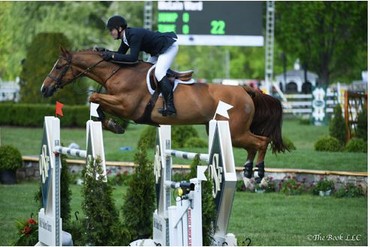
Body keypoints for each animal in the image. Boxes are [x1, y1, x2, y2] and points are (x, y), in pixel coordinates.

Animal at [41, 47, 290, 180]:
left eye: (58, 66)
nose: (44, 89)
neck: (118, 73)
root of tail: (246, 89)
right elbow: (98, 104)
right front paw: (113, 125)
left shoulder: (127, 106)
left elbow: (94, 99)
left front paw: (113, 124)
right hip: (226, 130)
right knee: (252, 144)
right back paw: (247, 171)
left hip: (234, 131)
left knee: (261, 141)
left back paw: (258, 172)